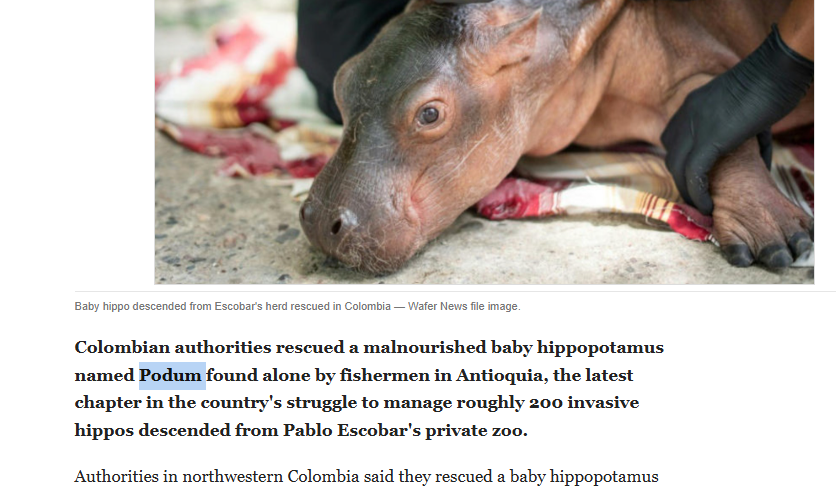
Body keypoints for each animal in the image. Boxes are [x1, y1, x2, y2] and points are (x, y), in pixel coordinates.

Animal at [299, 0, 814, 274]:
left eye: (429, 113)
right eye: (343, 81)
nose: (321, 220)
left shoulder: (701, 62)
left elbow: (725, 133)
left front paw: (777, 239)